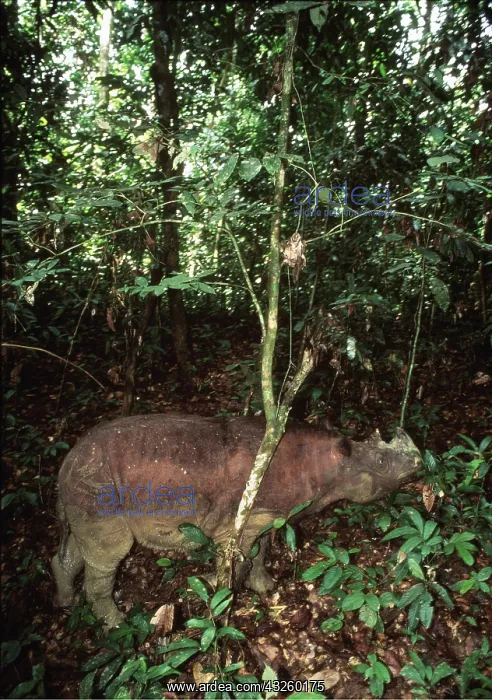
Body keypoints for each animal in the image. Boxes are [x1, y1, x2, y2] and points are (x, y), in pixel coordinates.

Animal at [52, 414, 420, 627]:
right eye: (381, 463)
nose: (418, 462)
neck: (328, 466)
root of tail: (65, 464)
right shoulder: (244, 518)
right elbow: (239, 560)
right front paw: (220, 598)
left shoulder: (266, 517)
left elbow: (259, 554)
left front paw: (266, 588)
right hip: (98, 485)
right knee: (110, 552)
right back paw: (117, 623)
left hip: (83, 487)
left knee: (81, 547)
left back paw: (67, 602)